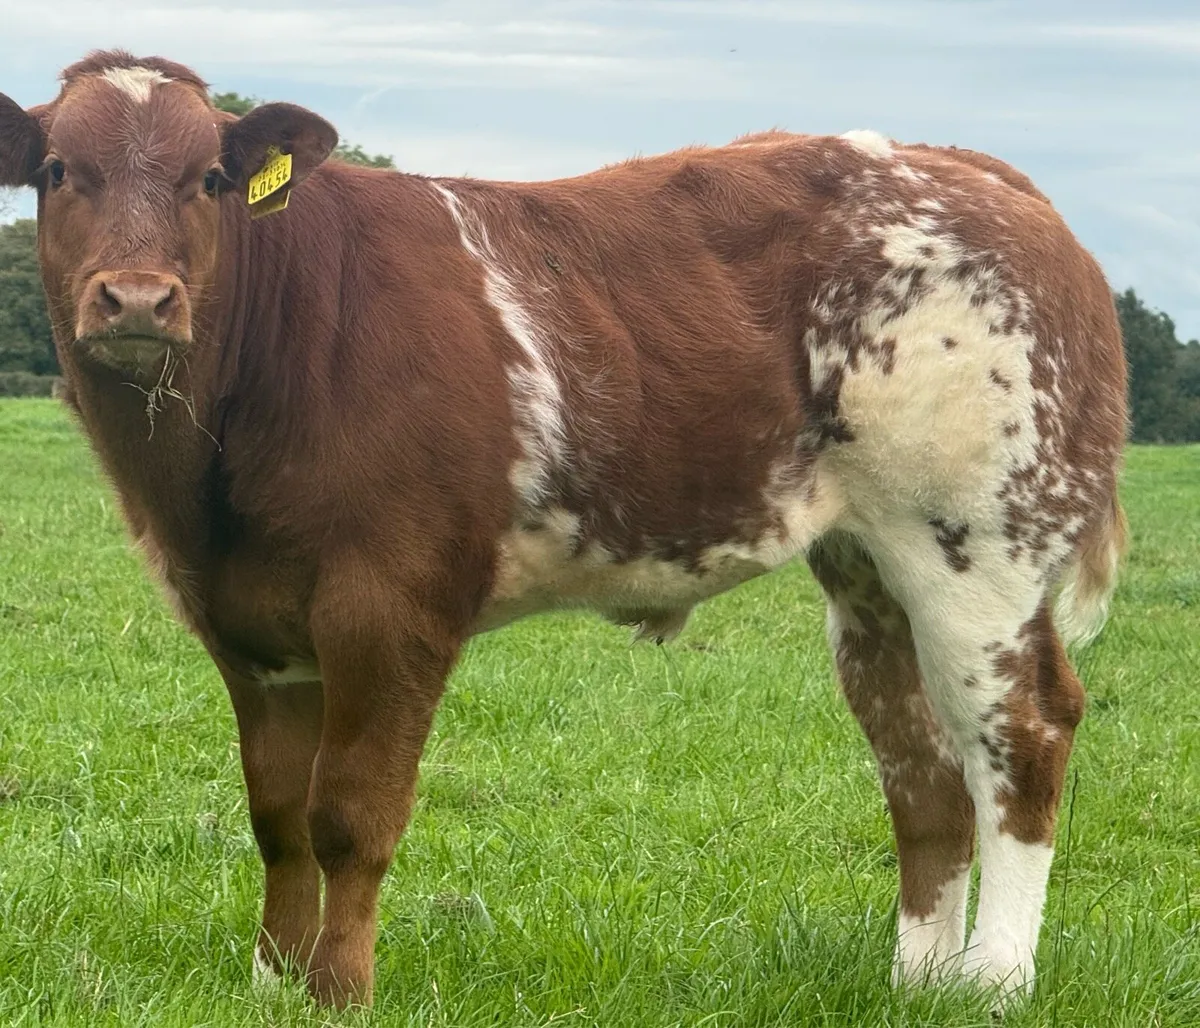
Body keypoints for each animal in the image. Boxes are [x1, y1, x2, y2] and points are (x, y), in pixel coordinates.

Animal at [0, 51, 1127, 1010]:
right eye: (57, 171)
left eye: (209, 179)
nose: (137, 297)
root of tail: (968, 168)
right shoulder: (247, 622)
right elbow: (277, 817)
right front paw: (271, 984)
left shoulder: (391, 601)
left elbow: (350, 814)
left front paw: (338, 992)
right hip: (868, 562)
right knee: (920, 766)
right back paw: (916, 984)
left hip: (979, 538)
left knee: (1021, 734)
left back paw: (994, 982)